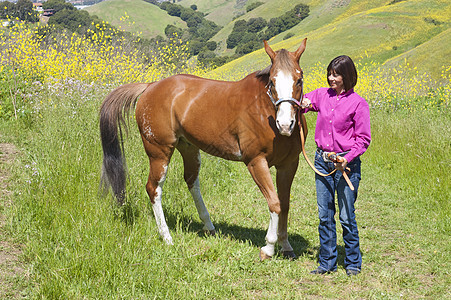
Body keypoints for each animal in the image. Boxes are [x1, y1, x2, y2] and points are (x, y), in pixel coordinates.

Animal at [100, 39, 308, 260]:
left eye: (299, 80)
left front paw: (285, 245)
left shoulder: (289, 165)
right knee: (153, 188)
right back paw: (167, 237)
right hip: (159, 152)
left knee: (191, 181)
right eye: (272, 82)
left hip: (189, 148)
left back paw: (208, 225)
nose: (285, 124)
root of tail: (150, 86)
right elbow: (274, 203)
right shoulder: (256, 162)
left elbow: (284, 204)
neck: (263, 109)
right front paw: (268, 247)